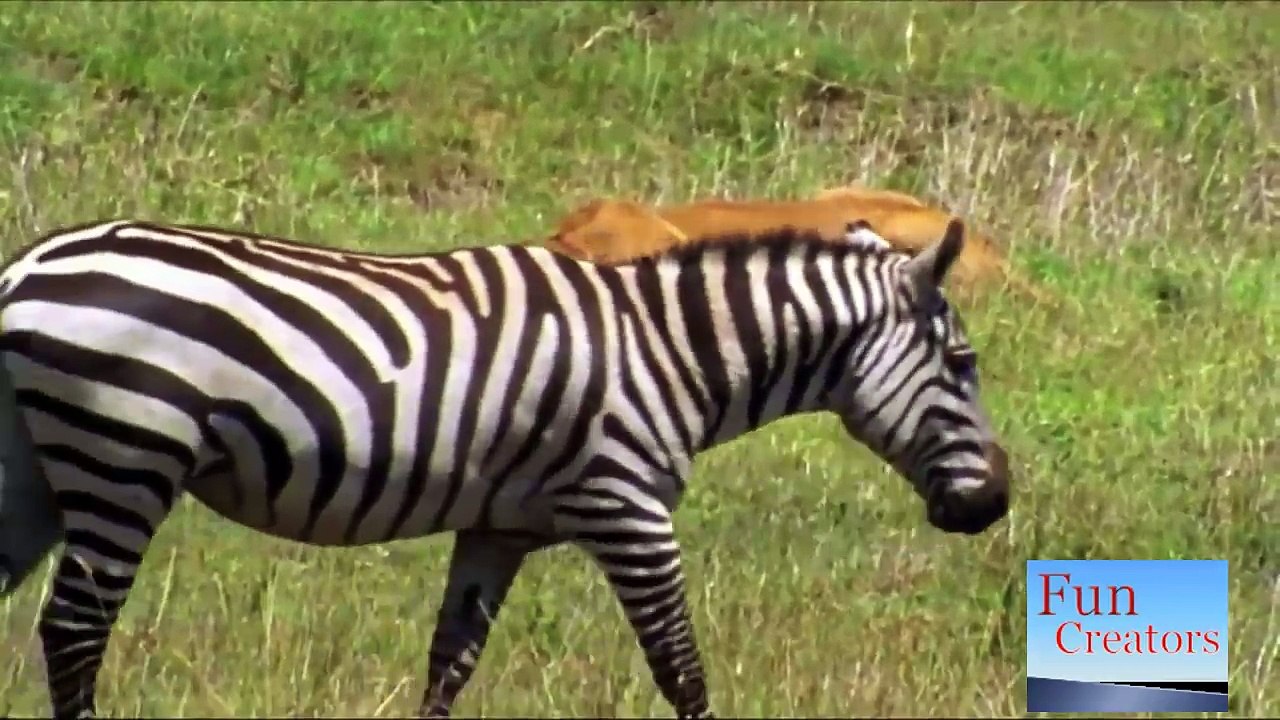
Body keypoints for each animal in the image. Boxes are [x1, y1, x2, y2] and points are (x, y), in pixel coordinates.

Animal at [0, 215, 1009, 718]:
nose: (994, 504)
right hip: (122, 458)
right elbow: (682, 670)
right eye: (964, 365)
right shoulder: (627, 508)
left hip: (37, 475)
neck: (671, 351)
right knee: (74, 633)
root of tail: (26, 268)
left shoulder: (497, 528)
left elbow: (450, 665)